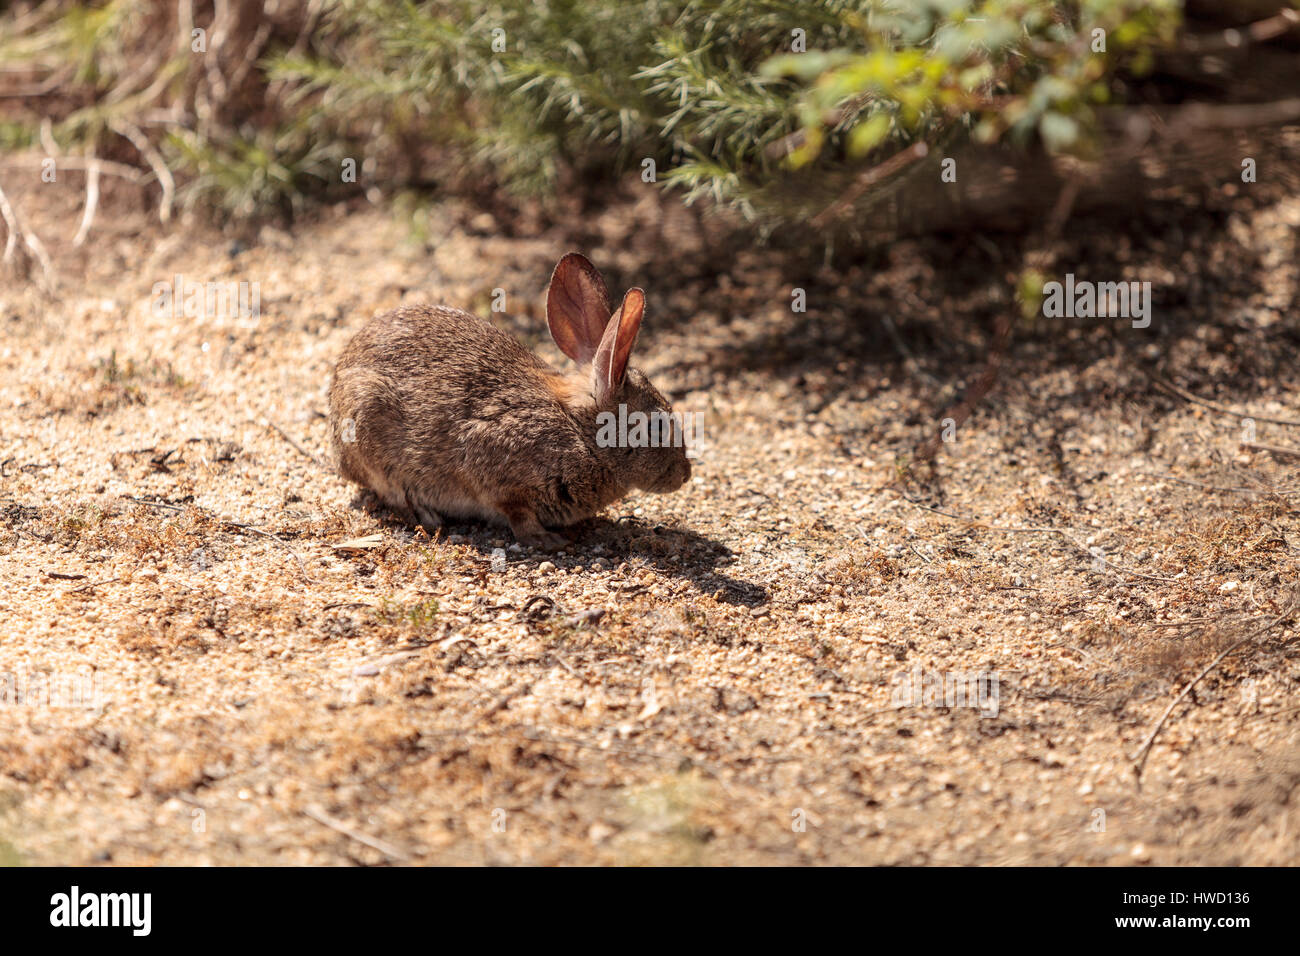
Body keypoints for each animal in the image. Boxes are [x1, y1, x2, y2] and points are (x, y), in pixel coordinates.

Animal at [327, 251, 691, 548]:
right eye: (656, 427)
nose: (685, 475)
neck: (580, 431)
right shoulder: (498, 472)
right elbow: (517, 514)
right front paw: (547, 540)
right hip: (367, 422)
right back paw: (426, 516)